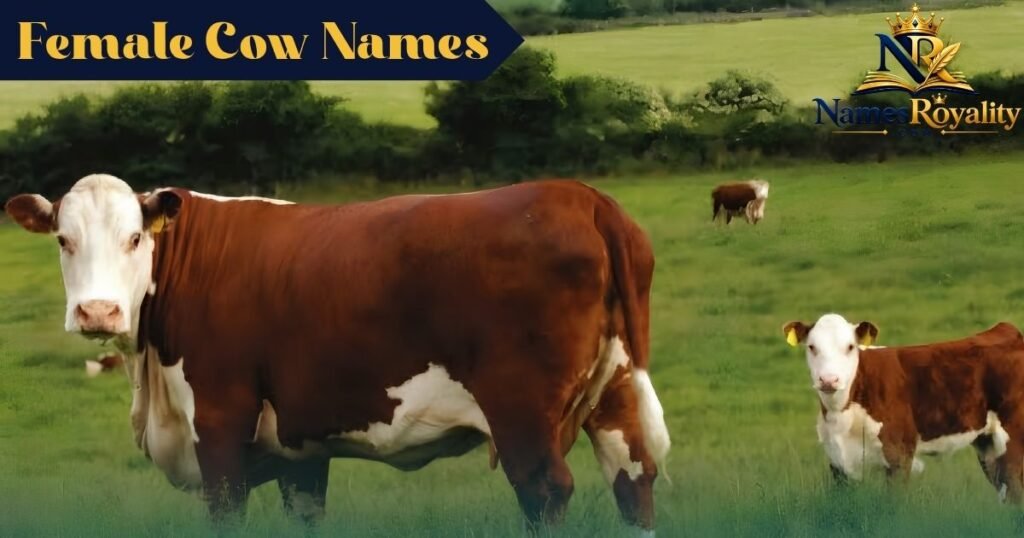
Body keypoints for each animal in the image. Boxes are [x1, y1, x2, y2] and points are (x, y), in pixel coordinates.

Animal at [5, 174, 671, 533]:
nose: (97, 312)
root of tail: (580, 195)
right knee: (633, 479)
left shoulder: (220, 429)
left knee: (545, 491)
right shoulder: (298, 448)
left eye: (134, 237)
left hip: (522, 414)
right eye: (63, 239)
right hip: (615, 395)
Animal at [783, 313, 1024, 502]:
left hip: (1013, 440)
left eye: (850, 347)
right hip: (989, 447)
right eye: (812, 347)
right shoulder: (838, 462)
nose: (829, 380)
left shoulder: (898, 454)